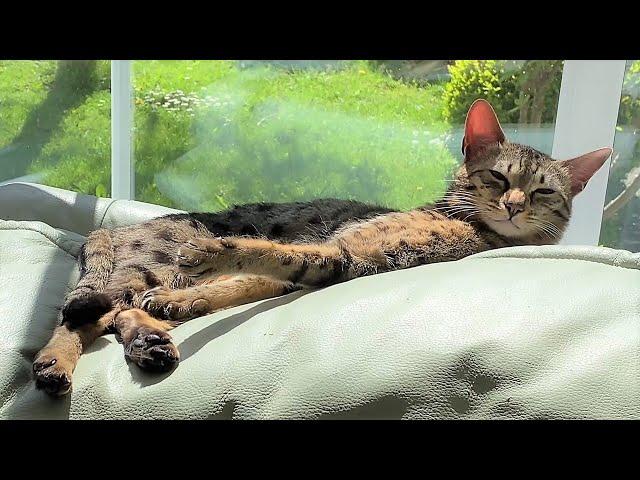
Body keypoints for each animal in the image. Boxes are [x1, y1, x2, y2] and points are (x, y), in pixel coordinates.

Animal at [31, 99, 608, 396]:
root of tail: (108, 231)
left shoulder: (338, 260)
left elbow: (256, 266)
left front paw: (196, 288)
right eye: (498, 177)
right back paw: (57, 362)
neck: (469, 233)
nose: (514, 205)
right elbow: (251, 253)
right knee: (79, 316)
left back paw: (148, 339)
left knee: (111, 315)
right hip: (137, 269)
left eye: (544, 192)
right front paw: (209, 260)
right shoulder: (337, 248)